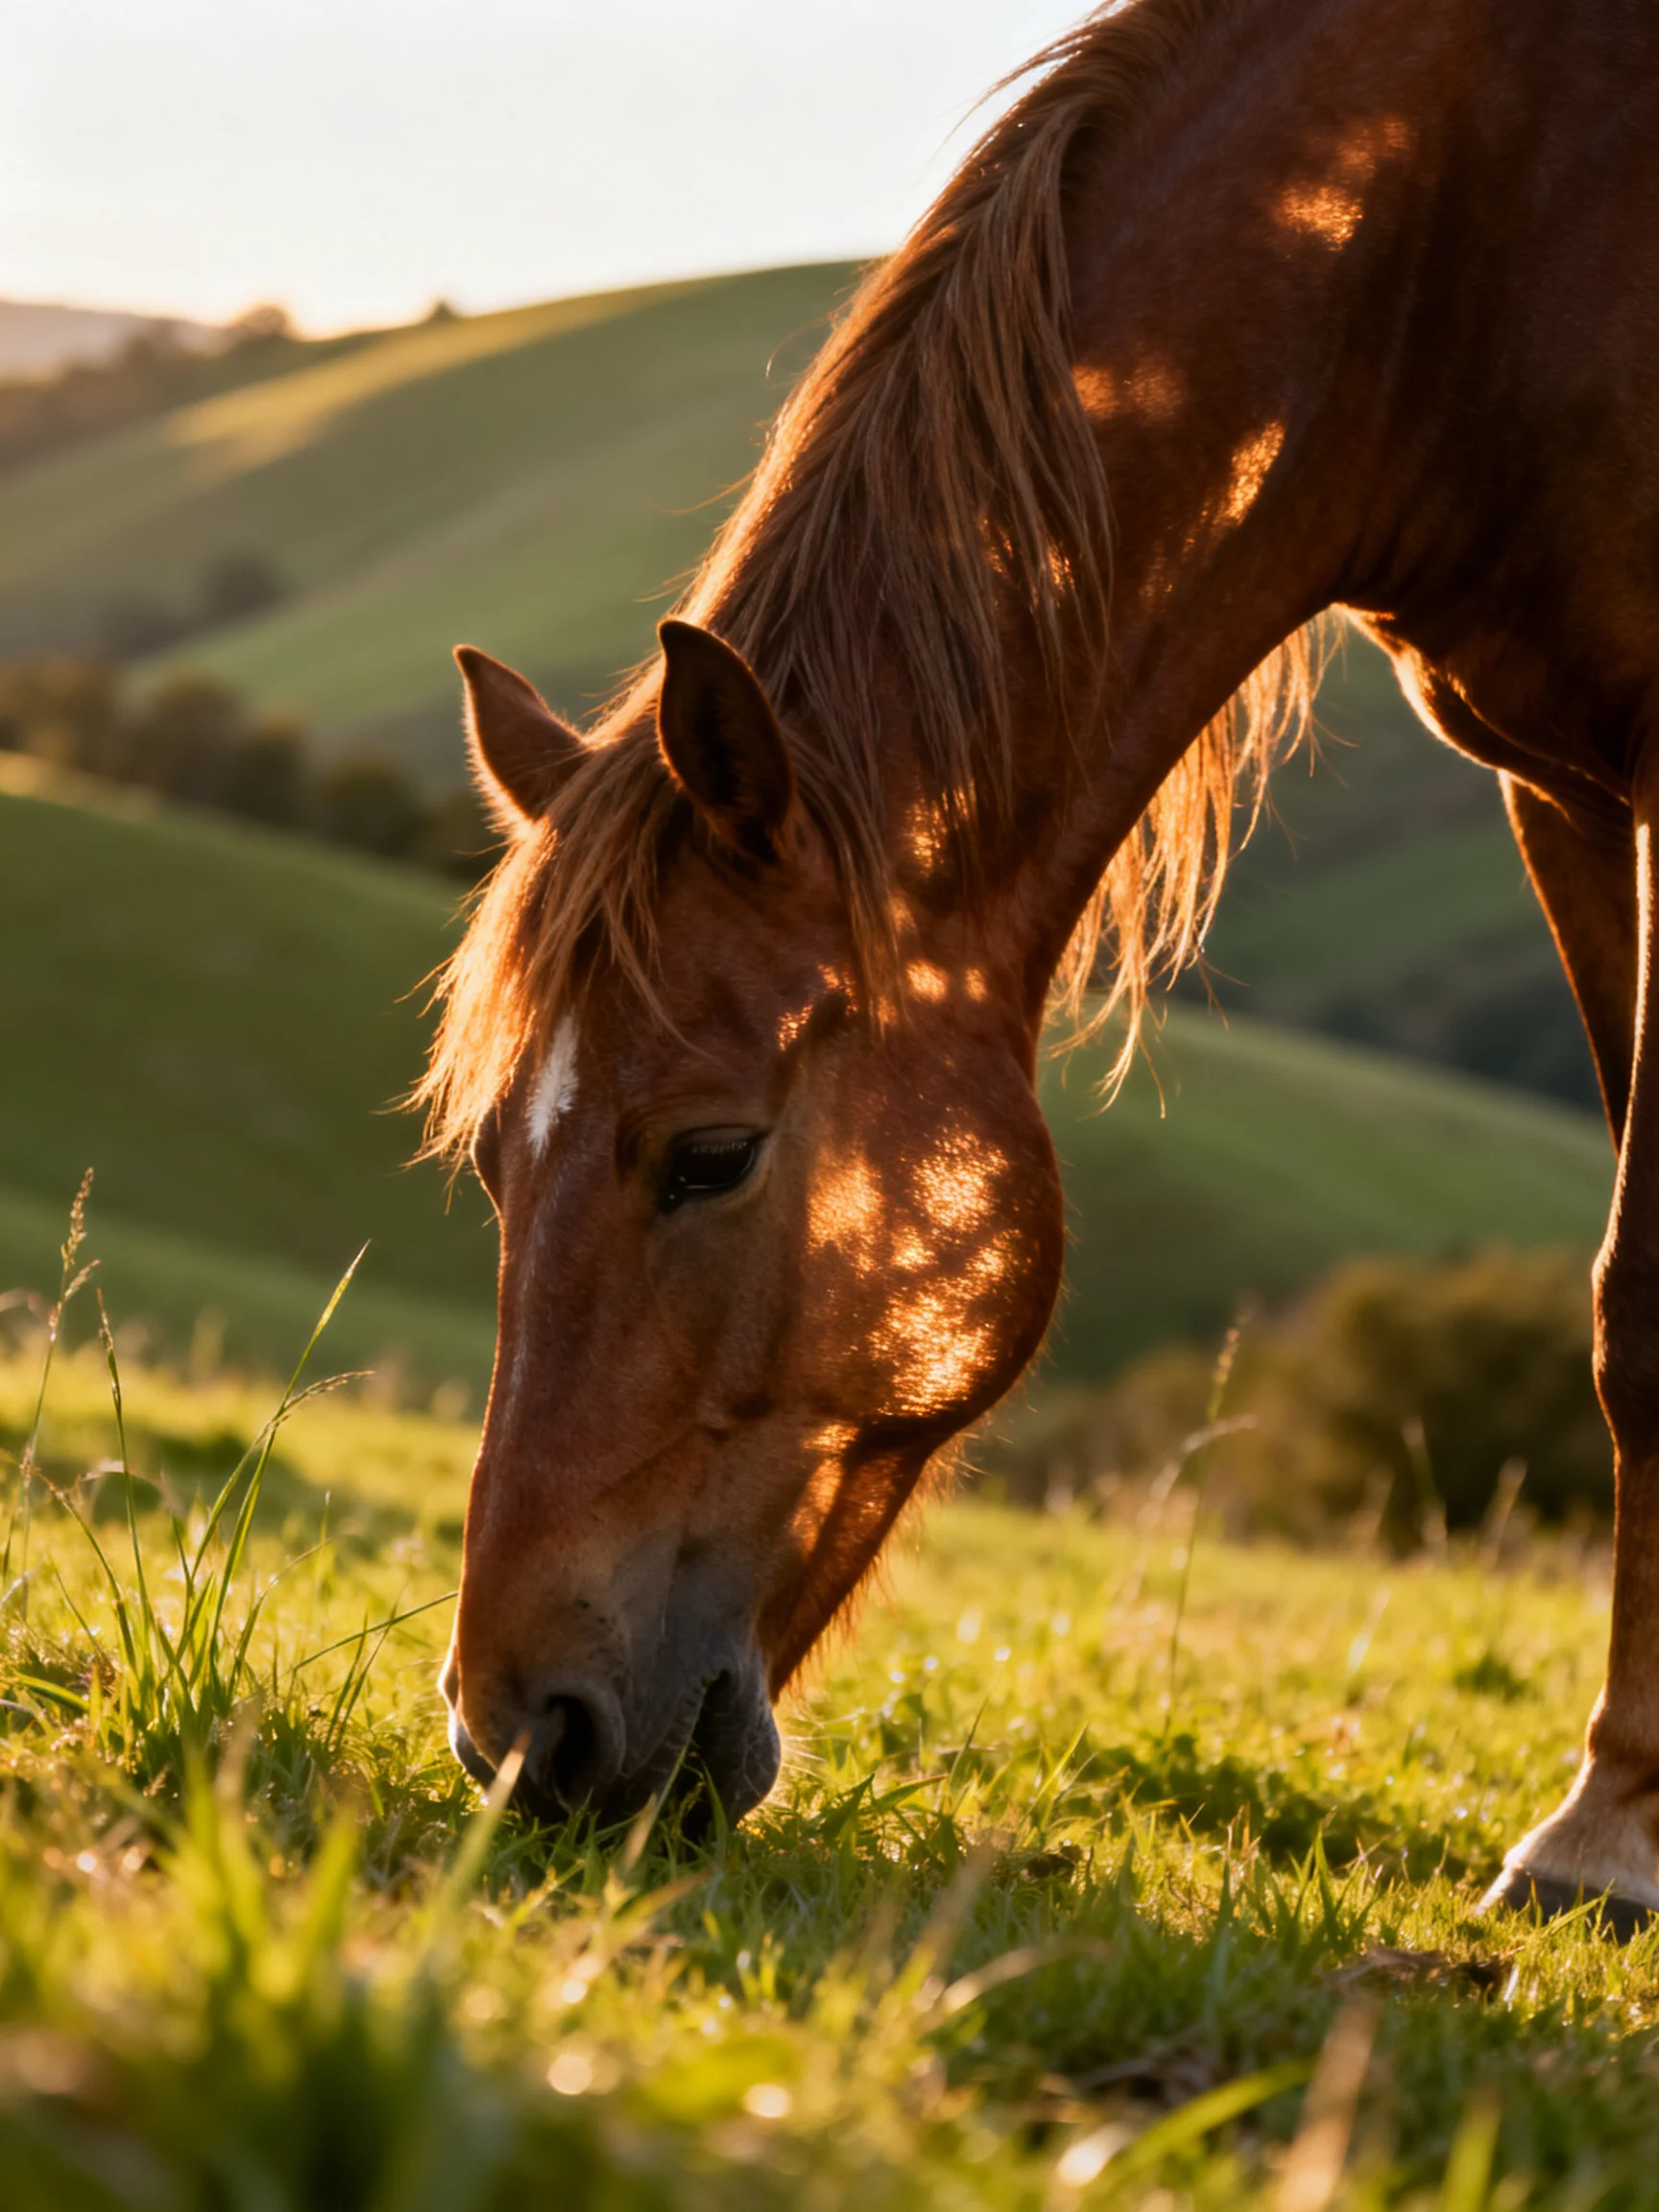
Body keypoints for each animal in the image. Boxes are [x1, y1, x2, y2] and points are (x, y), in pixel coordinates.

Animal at [422, 0, 1659, 1927]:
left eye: (712, 1154)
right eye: (491, 1161)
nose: (516, 1742)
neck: (1466, 220)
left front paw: (1609, 1834)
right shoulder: (1561, 790)